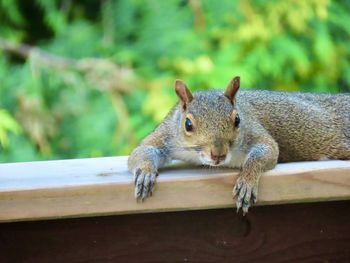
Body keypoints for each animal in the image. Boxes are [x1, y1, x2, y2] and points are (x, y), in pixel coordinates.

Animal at [128, 77, 350, 214]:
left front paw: (247, 181)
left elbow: (267, 150)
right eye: (188, 124)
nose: (218, 154)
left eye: (237, 120)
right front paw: (145, 172)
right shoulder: (166, 134)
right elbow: (141, 151)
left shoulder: (254, 132)